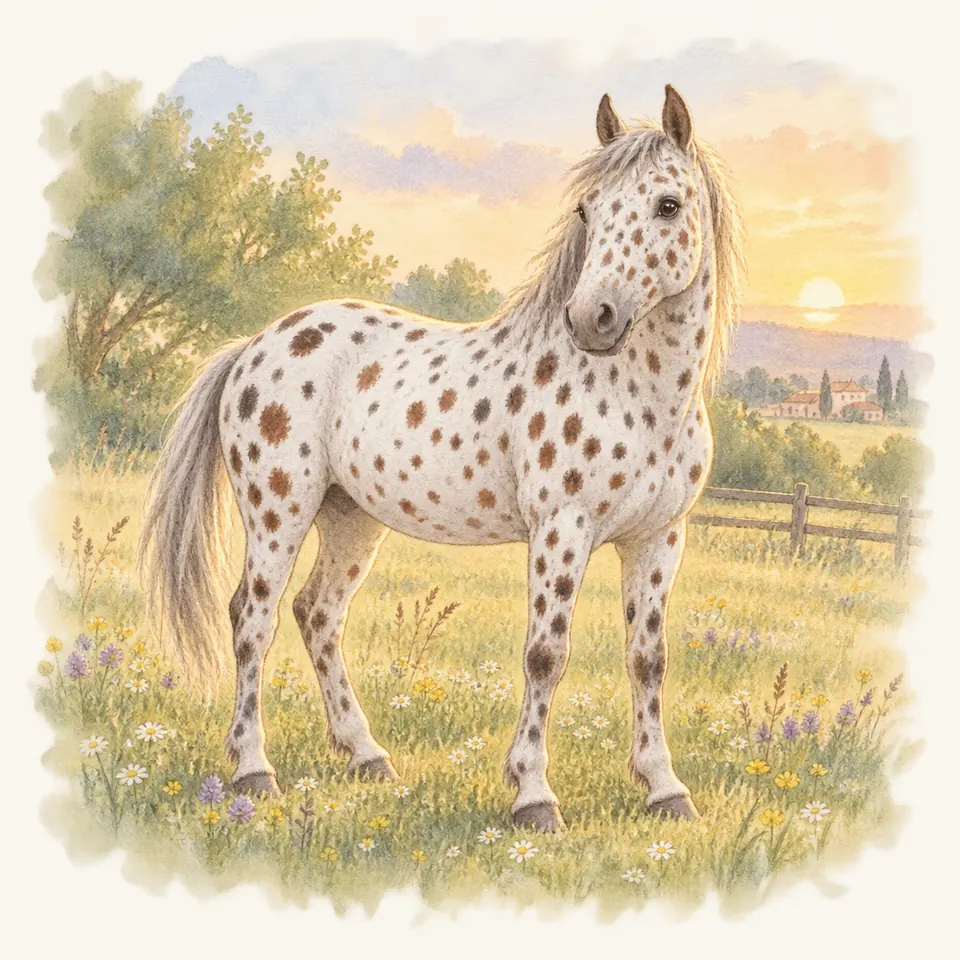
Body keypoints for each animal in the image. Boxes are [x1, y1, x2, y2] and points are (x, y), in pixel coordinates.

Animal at [140, 85, 744, 832]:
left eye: (667, 205)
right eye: (588, 209)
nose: (591, 318)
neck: (643, 396)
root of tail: (255, 344)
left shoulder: (659, 538)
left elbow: (648, 659)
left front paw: (665, 788)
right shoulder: (561, 530)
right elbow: (546, 655)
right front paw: (533, 795)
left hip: (352, 519)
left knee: (318, 615)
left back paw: (366, 755)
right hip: (278, 512)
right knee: (253, 620)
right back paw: (255, 769)